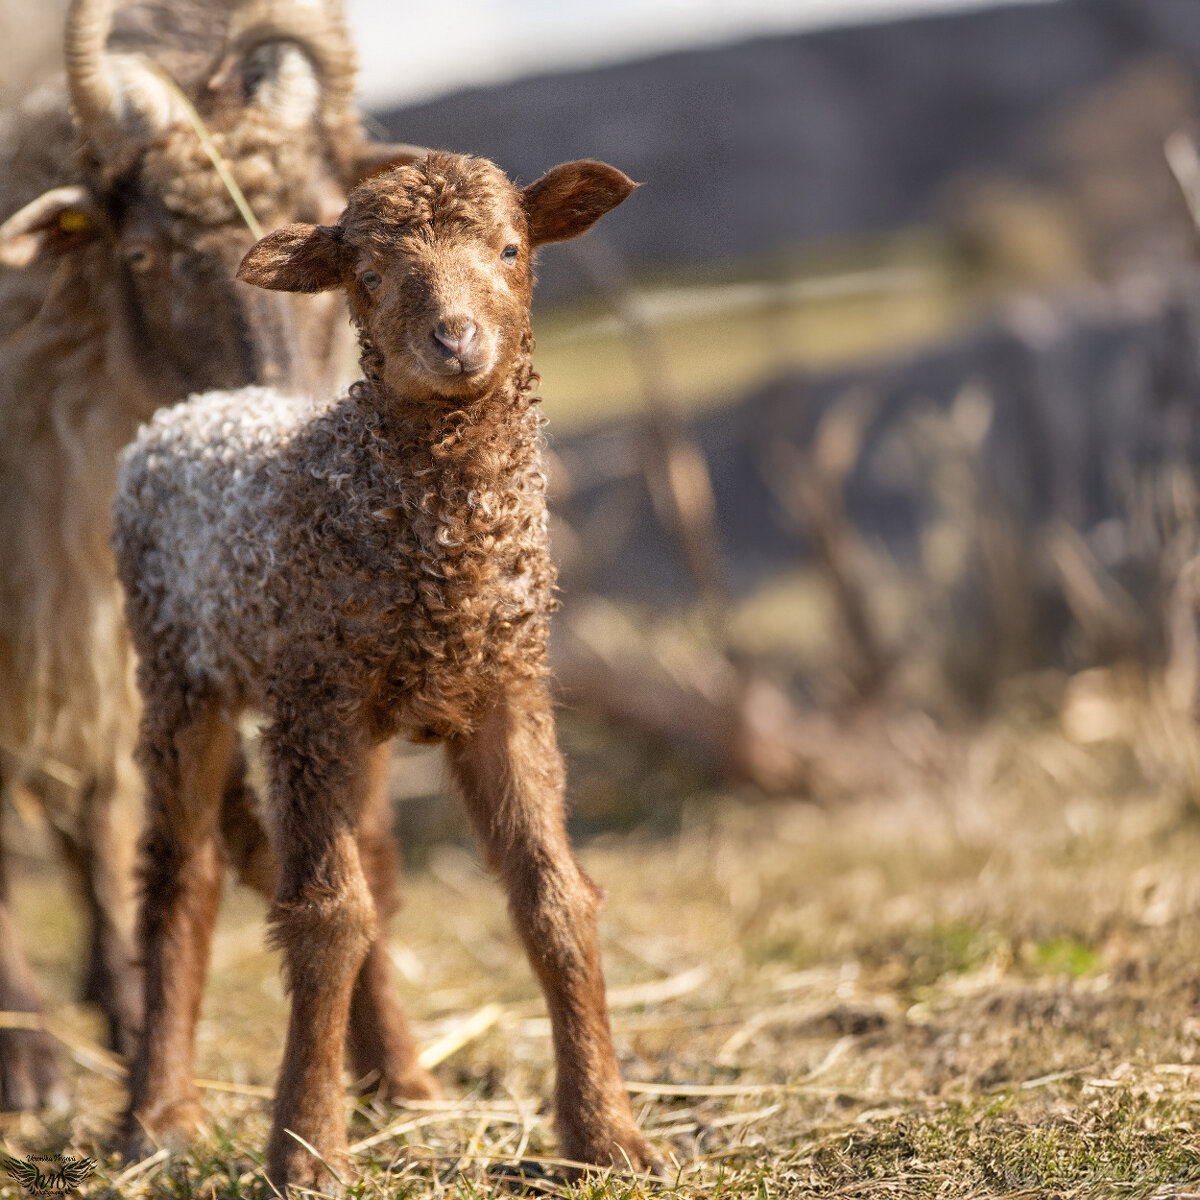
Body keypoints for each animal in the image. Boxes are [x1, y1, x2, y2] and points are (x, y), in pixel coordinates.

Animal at [110, 150, 657, 1190]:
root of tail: (191, 410)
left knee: (371, 871)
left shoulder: (507, 687)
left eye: (512, 248)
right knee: (180, 876)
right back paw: (160, 1117)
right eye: (367, 276)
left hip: (355, 726)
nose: (456, 339)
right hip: (179, 671)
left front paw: (609, 1137)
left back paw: (400, 1080)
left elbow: (555, 899)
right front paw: (307, 1153)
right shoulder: (313, 696)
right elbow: (325, 919)